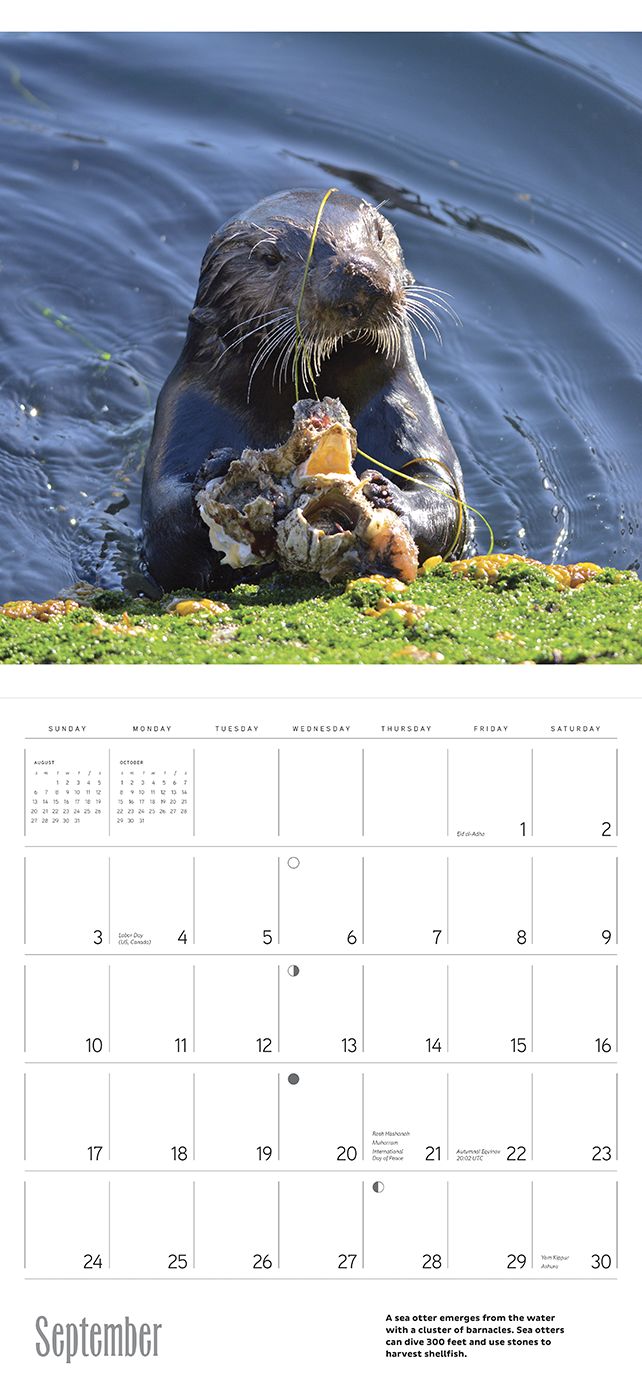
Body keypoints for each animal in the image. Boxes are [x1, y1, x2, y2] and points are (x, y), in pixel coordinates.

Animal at [141, 188, 467, 591]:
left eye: (378, 236)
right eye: (269, 258)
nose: (360, 274)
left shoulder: (408, 406)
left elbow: (443, 489)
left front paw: (384, 495)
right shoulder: (183, 408)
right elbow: (164, 526)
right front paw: (221, 470)